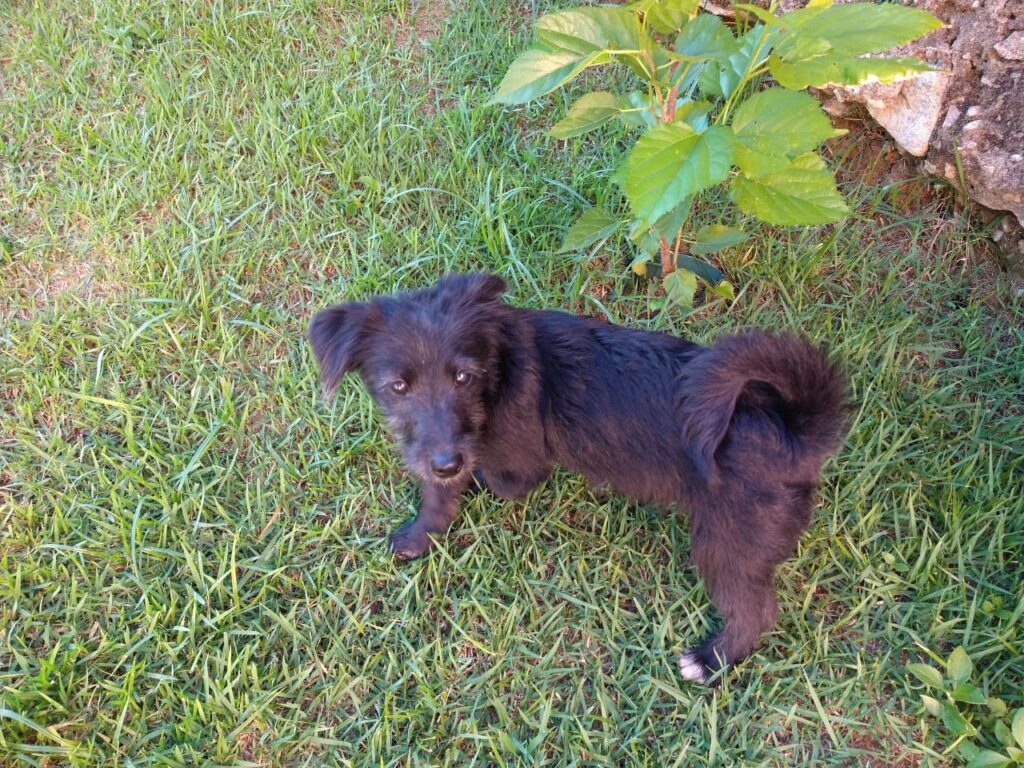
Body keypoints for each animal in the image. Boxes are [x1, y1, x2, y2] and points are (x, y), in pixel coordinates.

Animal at [309, 274, 847, 684]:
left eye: (463, 377)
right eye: (397, 386)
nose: (444, 462)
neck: (499, 366)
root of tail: (793, 429)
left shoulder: (518, 464)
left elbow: (493, 478)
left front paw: (459, 491)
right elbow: (439, 496)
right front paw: (421, 532)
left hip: (729, 540)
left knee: (756, 610)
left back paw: (711, 660)